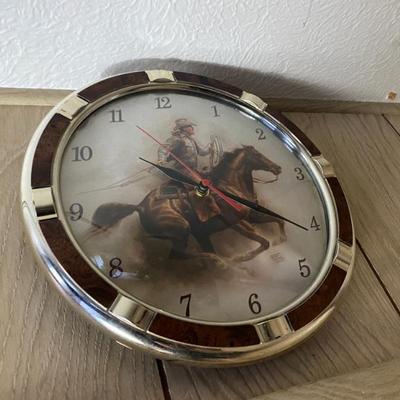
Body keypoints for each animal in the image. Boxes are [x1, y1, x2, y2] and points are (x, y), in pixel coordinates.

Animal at [91, 145, 283, 263]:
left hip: (198, 234)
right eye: (258, 155)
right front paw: (240, 258)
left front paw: (281, 240)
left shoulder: (252, 216)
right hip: (183, 228)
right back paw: (219, 260)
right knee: (179, 254)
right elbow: (264, 242)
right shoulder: (238, 223)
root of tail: (140, 206)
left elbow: (278, 221)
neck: (230, 187)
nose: (278, 168)